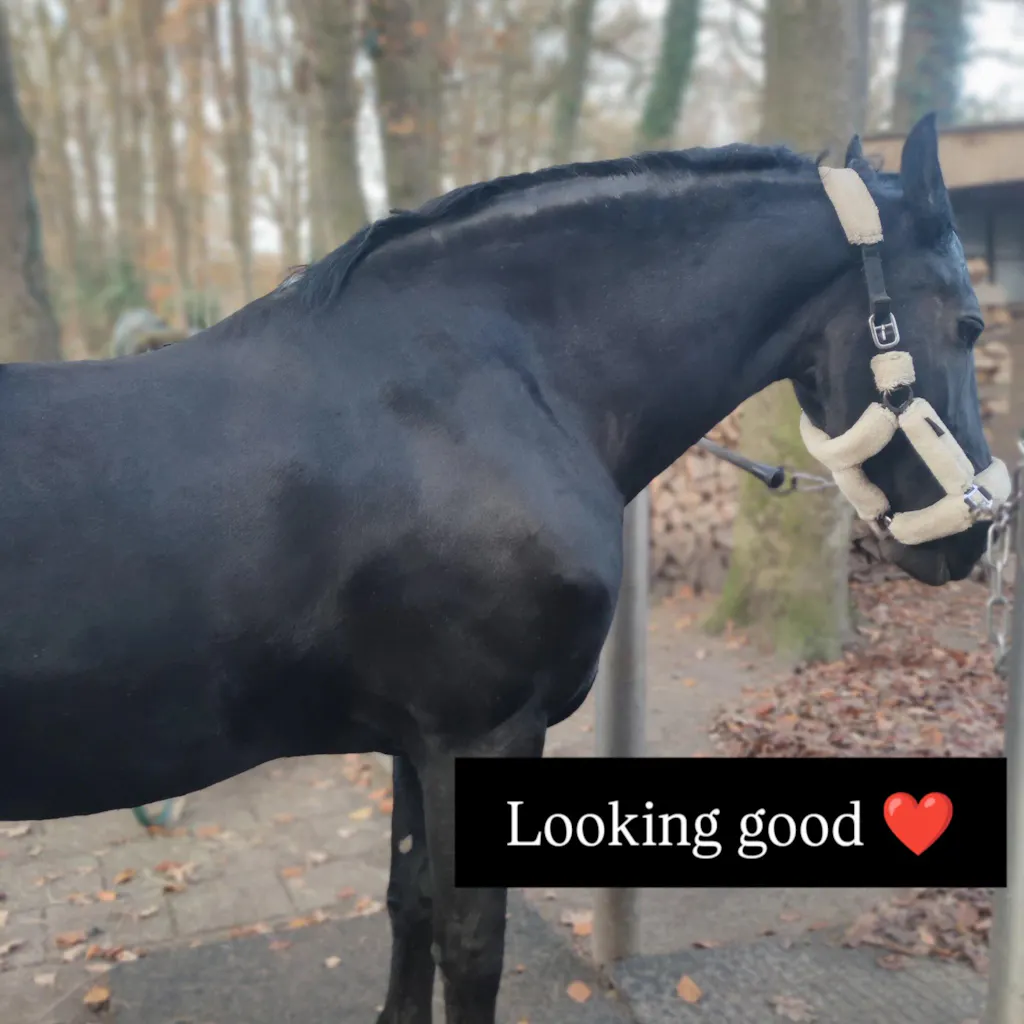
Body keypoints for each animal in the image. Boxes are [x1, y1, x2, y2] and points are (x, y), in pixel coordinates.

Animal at [0, 113, 1004, 1023]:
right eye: (969, 321)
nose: (974, 533)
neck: (479, 389)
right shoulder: (479, 732)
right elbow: (472, 943)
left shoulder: (413, 739)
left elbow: (409, 907)